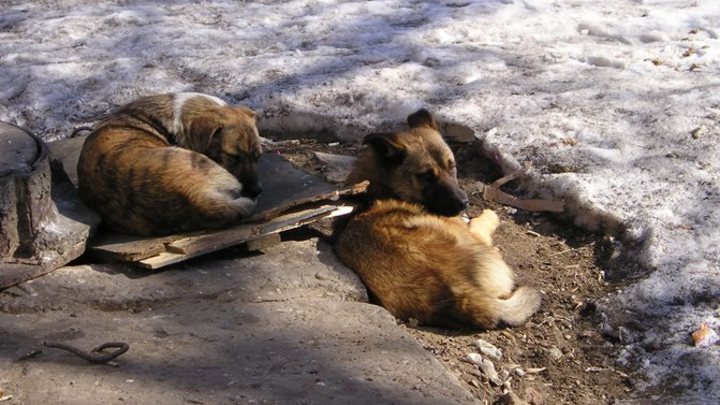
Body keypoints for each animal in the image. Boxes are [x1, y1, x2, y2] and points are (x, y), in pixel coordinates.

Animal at [336, 108, 540, 328]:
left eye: (452, 166)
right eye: (426, 175)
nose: (464, 202)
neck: (382, 189)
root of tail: (458, 292)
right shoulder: (472, 231)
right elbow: (481, 221)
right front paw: (487, 214)